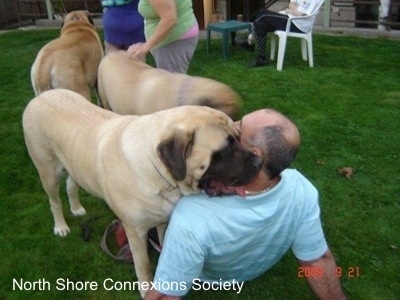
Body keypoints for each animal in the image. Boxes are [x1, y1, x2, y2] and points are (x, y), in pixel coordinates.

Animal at [23, 88, 264, 298]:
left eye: (239, 137)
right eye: (225, 150)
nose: (259, 162)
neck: (162, 174)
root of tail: (41, 96)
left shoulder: (164, 221)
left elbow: (165, 246)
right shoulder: (135, 231)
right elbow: (144, 264)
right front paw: (147, 289)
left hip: (73, 165)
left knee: (71, 185)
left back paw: (76, 208)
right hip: (47, 170)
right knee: (54, 200)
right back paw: (61, 226)